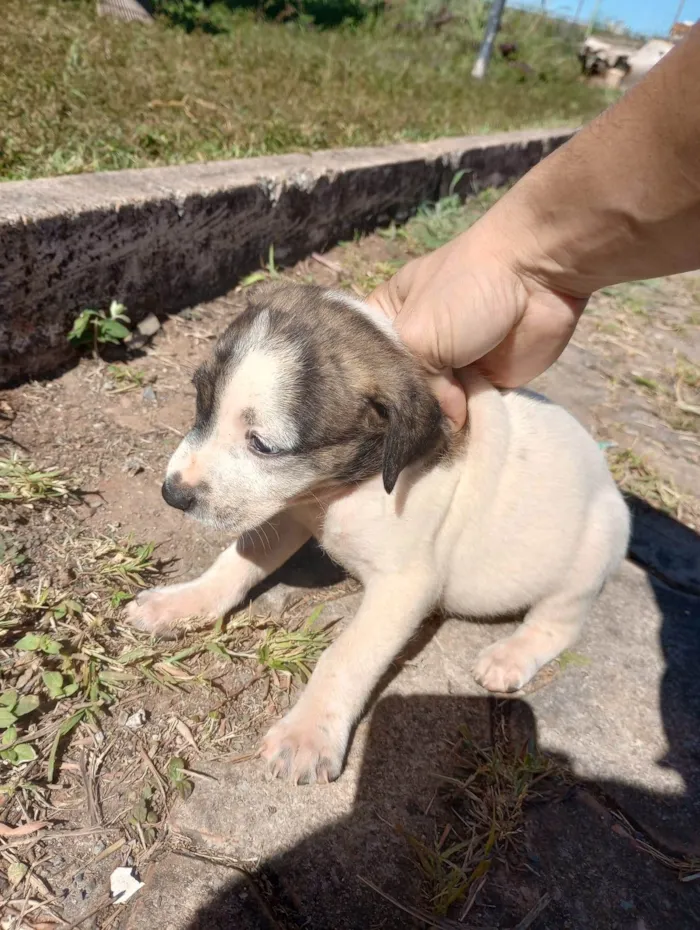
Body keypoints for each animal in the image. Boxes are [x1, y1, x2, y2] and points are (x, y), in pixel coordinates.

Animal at [124, 280, 628, 784]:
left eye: (262, 445)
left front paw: (307, 734)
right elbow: (235, 563)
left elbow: (345, 655)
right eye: (200, 403)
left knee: (558, 625)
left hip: (592, 551)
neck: (348, 486)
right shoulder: (289, 510)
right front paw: (182, 604)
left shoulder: (404, 587)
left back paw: (510, 656)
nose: (172, 493)